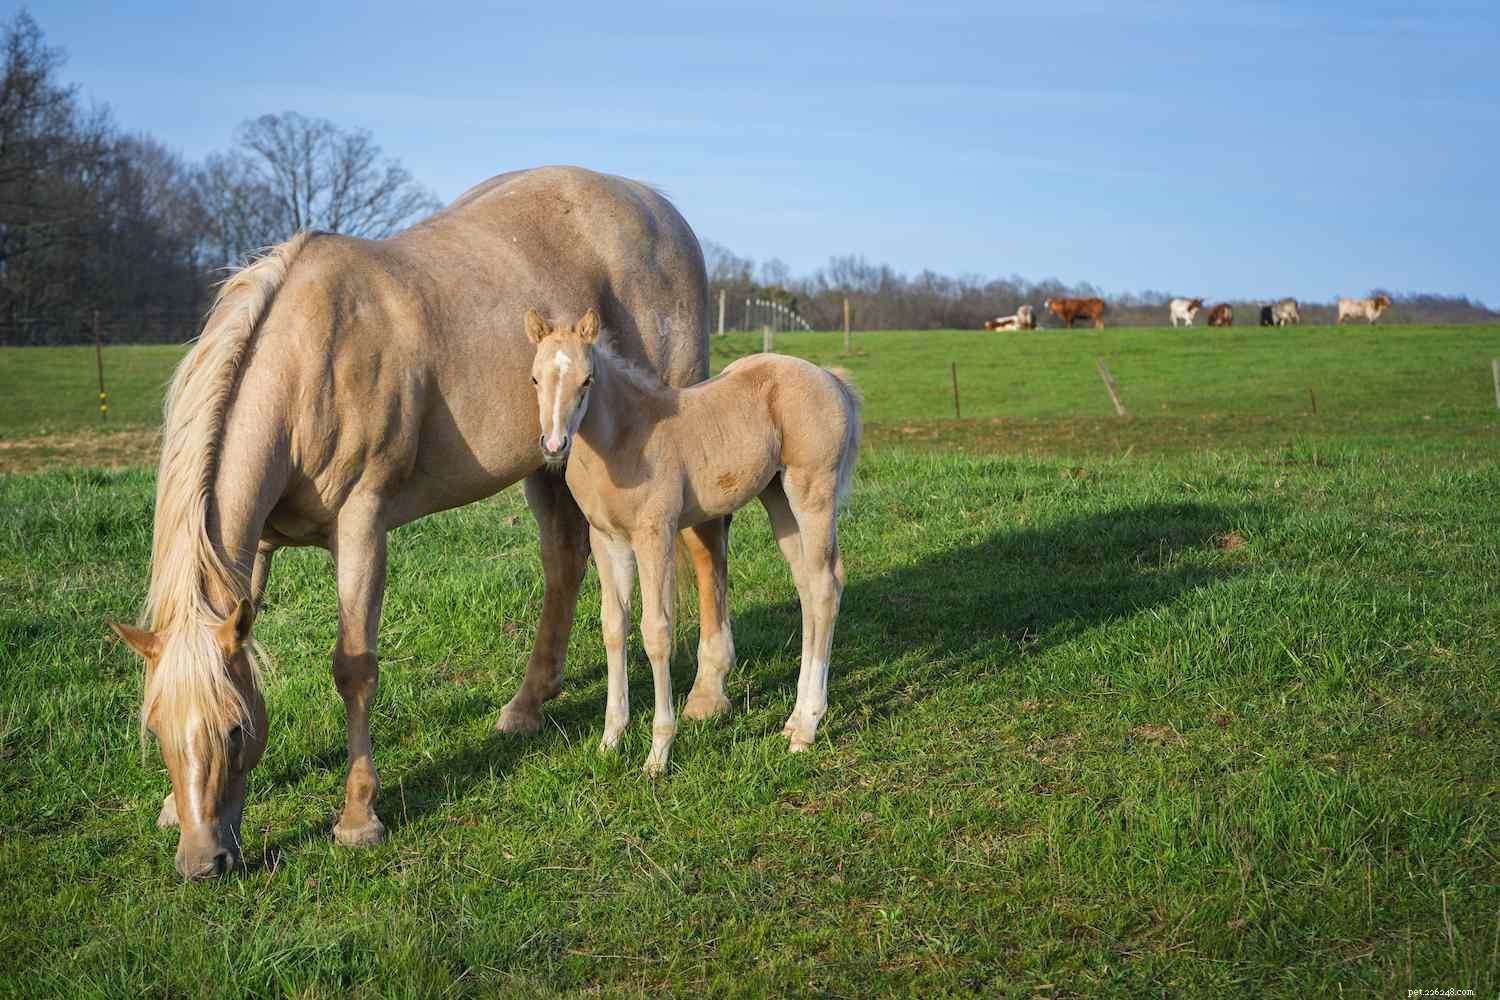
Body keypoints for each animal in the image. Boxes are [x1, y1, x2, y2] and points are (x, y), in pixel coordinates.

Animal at [105, 166, 738, 880]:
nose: (202, 862)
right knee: (564, 562)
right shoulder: (257, 549)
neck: (312, 357)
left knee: (706, 544)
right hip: (551, 457)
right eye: (156, 729)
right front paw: (169, 806)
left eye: (236, 729)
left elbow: (354, 668)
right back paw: (527, 704)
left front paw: (358, 817)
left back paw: (708, 693)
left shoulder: (362, 527)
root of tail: (658, 207)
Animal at [523, 308, 861, 774]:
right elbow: (614, 627)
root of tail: (831, 378)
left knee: (826, 588)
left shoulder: (656, 534)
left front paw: (658, 753)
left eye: (587, 379)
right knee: (810, 589)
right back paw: (794, 721)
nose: (554, 445)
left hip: (812, 492)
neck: (624, 438)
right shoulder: (608, 541)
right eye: (536, 378)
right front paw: (610, 740)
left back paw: (807, 729)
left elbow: (656, 632)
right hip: (779, 500)